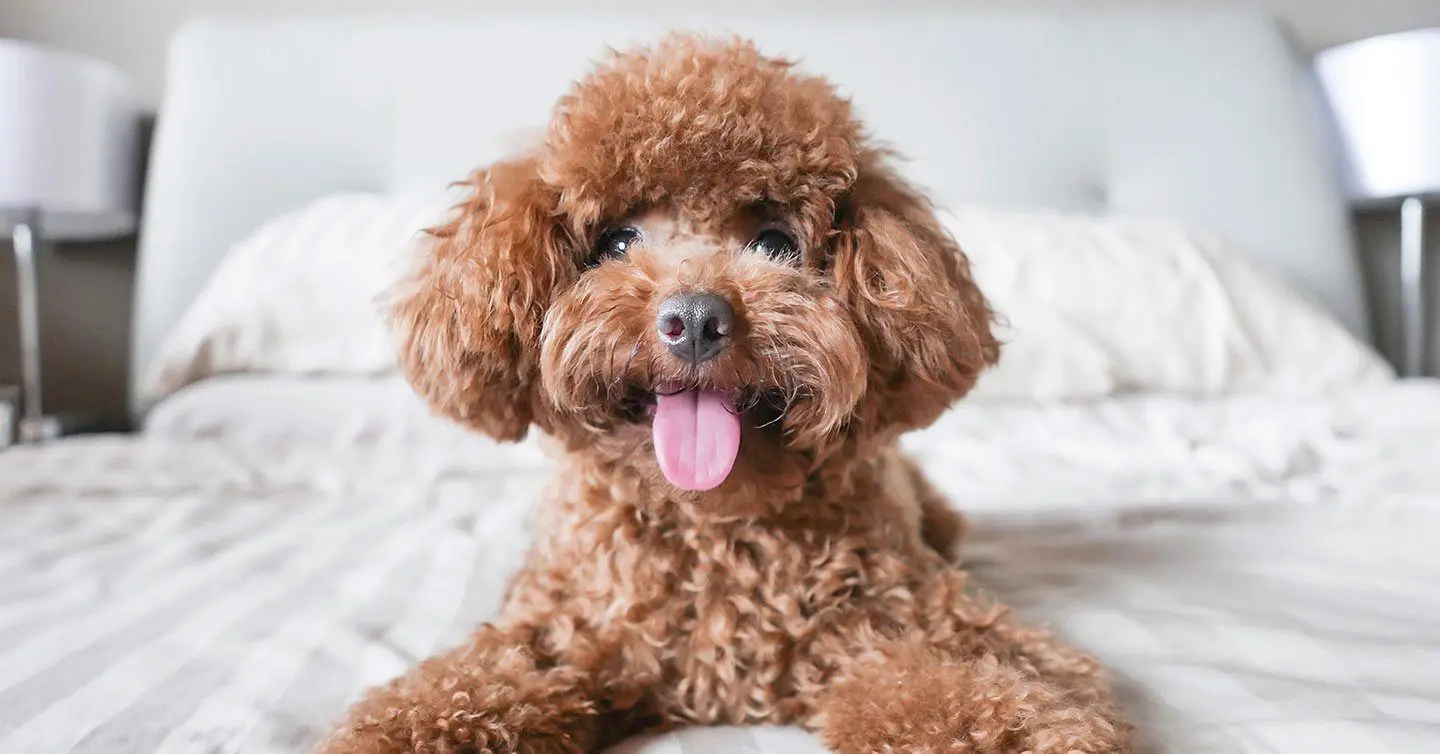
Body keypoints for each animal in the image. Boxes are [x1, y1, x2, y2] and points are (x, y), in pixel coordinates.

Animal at [318, 32, 1134, 748]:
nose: (695, 320)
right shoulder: (553, 638)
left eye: (774, 242)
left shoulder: (918, 625)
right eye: (615, 241)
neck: (715, 530)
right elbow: (463, 692)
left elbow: (966, 694)